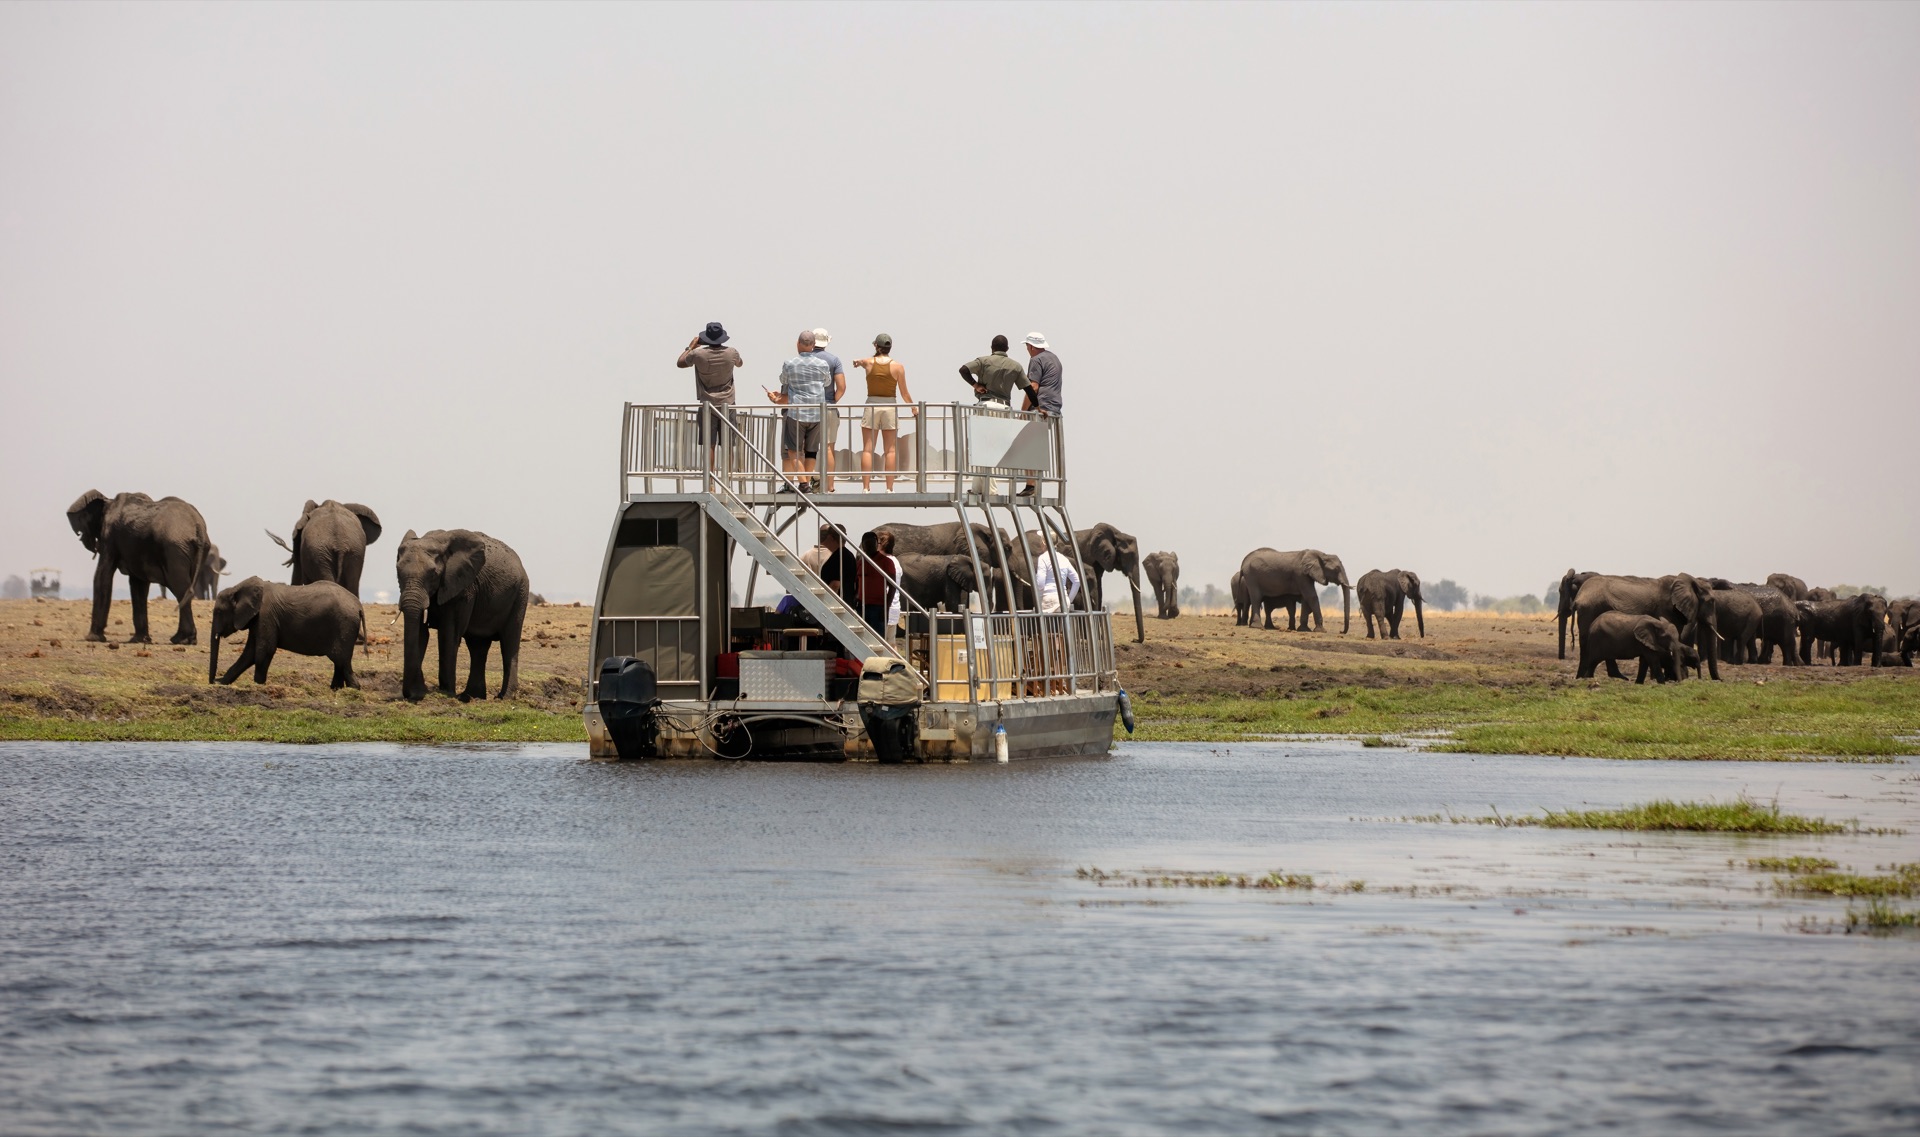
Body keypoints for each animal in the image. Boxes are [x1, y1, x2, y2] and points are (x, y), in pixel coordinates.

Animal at [66, 490, 211, 645]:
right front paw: (139, 640)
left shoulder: (109, 536)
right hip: (197, 551)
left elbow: (103, 575)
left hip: (173, 549)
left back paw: (181, 639)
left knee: (180, 589)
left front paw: (93, 639)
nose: (82, 538)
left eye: (79, 530)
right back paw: (186, 639)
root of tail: (198, 527)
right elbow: (138, 584)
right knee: (185, 590)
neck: (107, 501)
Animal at [208, 576, 364, 689]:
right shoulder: (256, 619)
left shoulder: (266, 615)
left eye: (219, 612)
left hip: (344, 625)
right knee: (339, 662)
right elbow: (250, 653)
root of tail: (358, 605)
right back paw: (336, 689)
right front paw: (222, 682)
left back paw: (353, 689)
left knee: (342, 661)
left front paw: (259, 685)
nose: (212, 681)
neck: (237, 588)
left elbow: (264, 650)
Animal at [396, 529, 530, 702]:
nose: (414, 694)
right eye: (398, 572)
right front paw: (419, 693)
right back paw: (471, 696)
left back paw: (504, 697)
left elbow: (448, 634)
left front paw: (446, 693)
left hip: (520, 594)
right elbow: (419, 633)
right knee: (478, 646)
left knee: (509, 642)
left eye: (433, 574)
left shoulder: (462, 587)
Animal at [1572, 574, 1720, 680]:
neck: (1689, 580)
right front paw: (1672, 677)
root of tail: (1579, 596)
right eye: (1711, 601)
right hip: (1591, 609)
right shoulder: (1668, 610)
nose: (1719, 680)